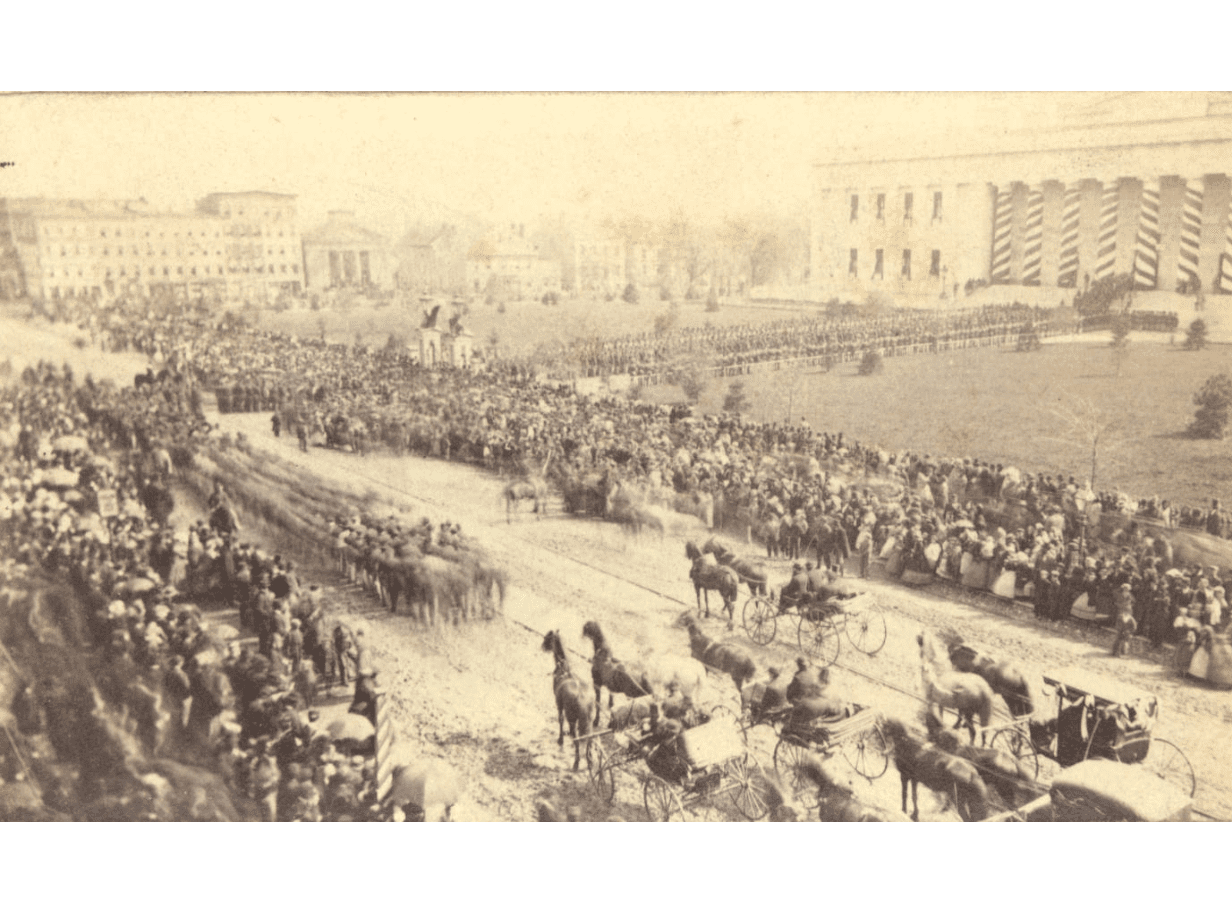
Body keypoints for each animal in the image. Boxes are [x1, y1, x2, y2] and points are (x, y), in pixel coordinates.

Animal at [542, 626, 593, 769]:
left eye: (548, 637)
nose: (542, 646)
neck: (564, 670)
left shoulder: (559, 704)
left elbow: (560, 719)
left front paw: (560, 740)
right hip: (589, 721)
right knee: (589, 738)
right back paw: (590, 760)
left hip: (572, 718)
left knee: (577, 739)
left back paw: (576, 762)